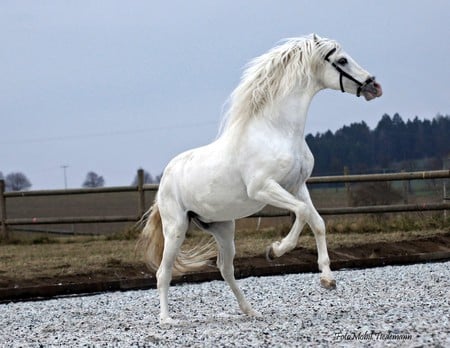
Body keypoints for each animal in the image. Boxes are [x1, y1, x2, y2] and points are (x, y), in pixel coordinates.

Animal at [138, 34, 384, 324]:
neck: (277, 130)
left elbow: (317, 222)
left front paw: (327, 279)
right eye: (342, 60)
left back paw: (250, 310)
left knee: (226, 269)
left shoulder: (297, 187)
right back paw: (167, 319)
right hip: (175, 228)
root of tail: (164, 179)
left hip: (223, 228)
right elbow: (302, 213)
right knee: (163, 272)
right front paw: (275, 250)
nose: (374, 86)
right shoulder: (264, 189)